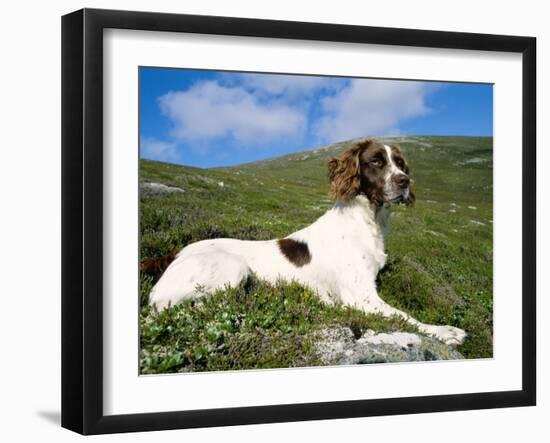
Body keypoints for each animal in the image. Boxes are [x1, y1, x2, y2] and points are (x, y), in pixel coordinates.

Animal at [149, 140, 468, 348]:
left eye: (400, 164)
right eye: (376, 161)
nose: (404, 182)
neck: (367, 221)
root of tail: (175, 254)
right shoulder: (361, 297)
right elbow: (405, 316)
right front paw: (446, 332)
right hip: (232, 266)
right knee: (169, 306)